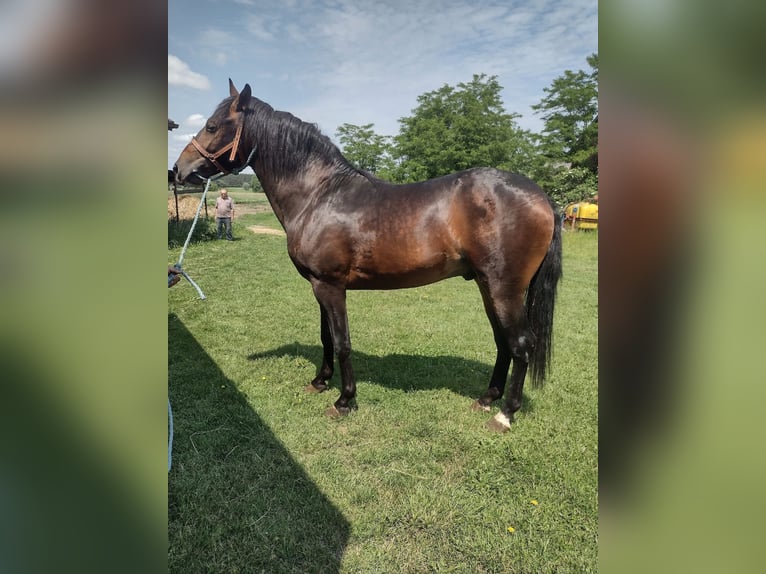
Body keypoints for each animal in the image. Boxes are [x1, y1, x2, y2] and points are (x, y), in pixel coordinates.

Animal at [177, 80, 568, 432]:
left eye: (212, 126)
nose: (178, 169)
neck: (319, 195)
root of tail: (542, 197)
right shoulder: (319, 286)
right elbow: (326, 337)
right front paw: (320, 382)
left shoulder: (330, 286)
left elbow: (342, 342)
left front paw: (344, 400)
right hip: (488, 286)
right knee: (503, 342)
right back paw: (487, 399)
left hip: (505, 288)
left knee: (521, 344)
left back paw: (505, 415)